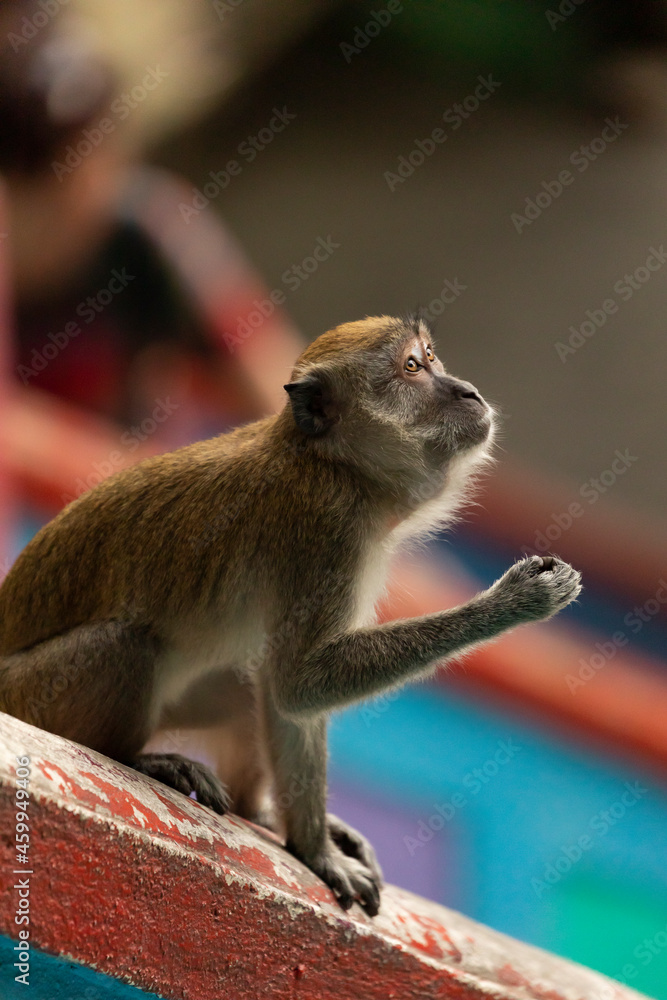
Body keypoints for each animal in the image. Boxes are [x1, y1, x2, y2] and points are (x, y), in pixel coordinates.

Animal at [0, 314, 581, 916]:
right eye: (411, 368)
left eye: (431, 358)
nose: (467, 391)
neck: (331, 462)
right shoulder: (327, 532)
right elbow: (300, 682)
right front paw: (513, 601)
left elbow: (288, 699)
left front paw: (311, 841)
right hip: (32, 691)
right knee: (131, 643)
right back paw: (136, 758)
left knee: (244, 686)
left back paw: (256, 809)